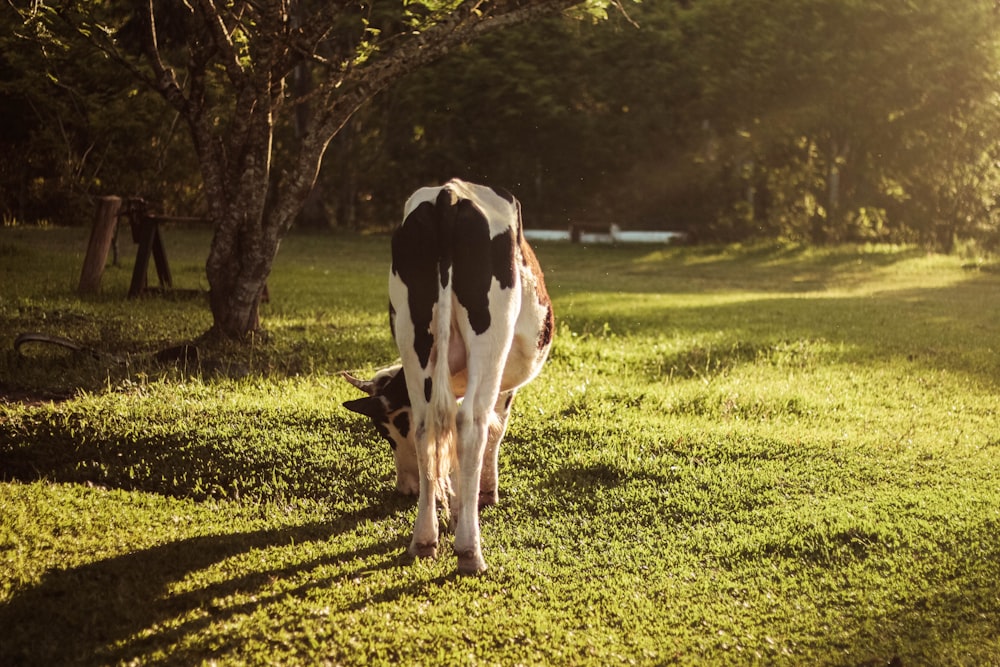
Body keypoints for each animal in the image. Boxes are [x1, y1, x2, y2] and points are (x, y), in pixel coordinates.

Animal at [340, 180, 552, 576]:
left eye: (390, 434)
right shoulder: (504, 387)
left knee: (431, 427)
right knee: (471, 425)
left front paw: (452, 507)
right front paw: (482, 496)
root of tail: (449, 193)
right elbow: (493, 432)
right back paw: (470, 550)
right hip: (489, 336)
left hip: (414, 332)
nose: (405, 487)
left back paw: (424, 538)